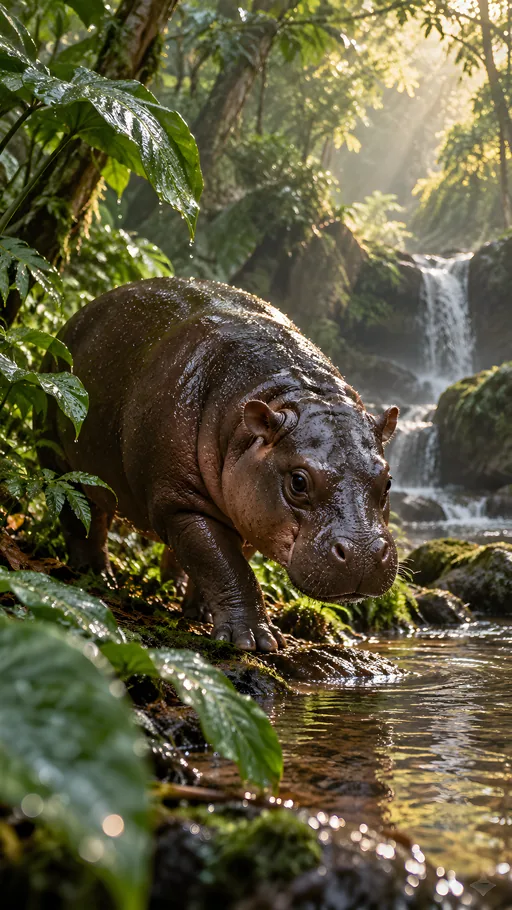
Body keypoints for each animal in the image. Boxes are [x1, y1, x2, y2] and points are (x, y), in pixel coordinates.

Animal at [41, 277, 399, 652]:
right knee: (83, 518)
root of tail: (77, 315)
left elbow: (220, 562)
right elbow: (225, 565)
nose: (363, 554)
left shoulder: (248, 512)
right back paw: (95, 575)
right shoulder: (182, 503)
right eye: (298, 482)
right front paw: (256, 641)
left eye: (387, 481)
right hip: (58, 457)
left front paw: (203, 614)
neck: (288, 393)